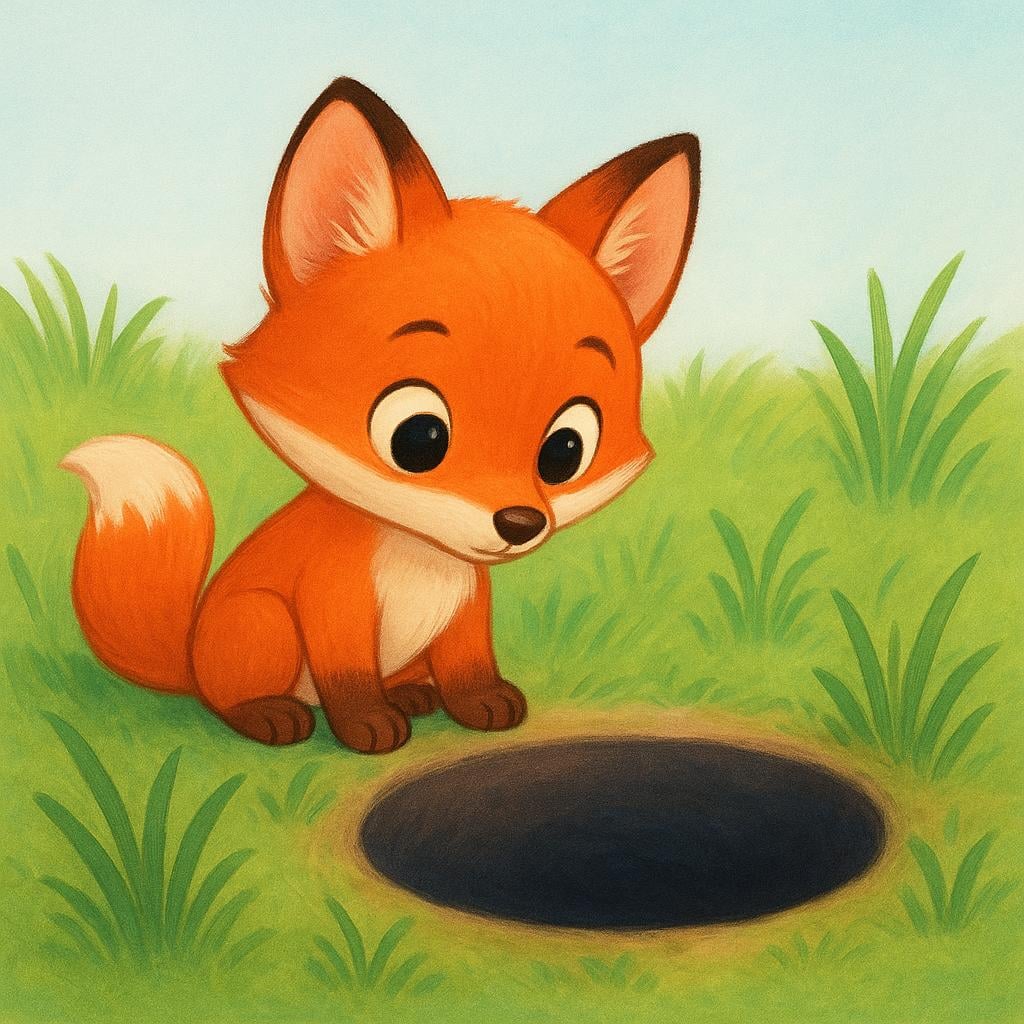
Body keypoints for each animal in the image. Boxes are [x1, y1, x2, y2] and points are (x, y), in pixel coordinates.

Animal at [62, 78, 700, 754]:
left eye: (565, 451)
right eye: (419, 437)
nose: (520, 522)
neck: (421, 560)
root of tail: (187, 653)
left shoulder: (466, 615)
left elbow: (470, 668)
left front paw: (479, 703)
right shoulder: (332, 604)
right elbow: (348, 677)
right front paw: (367, 724)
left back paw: (414, 696)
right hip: (261, 623)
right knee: (229, 699)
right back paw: (270, 714)